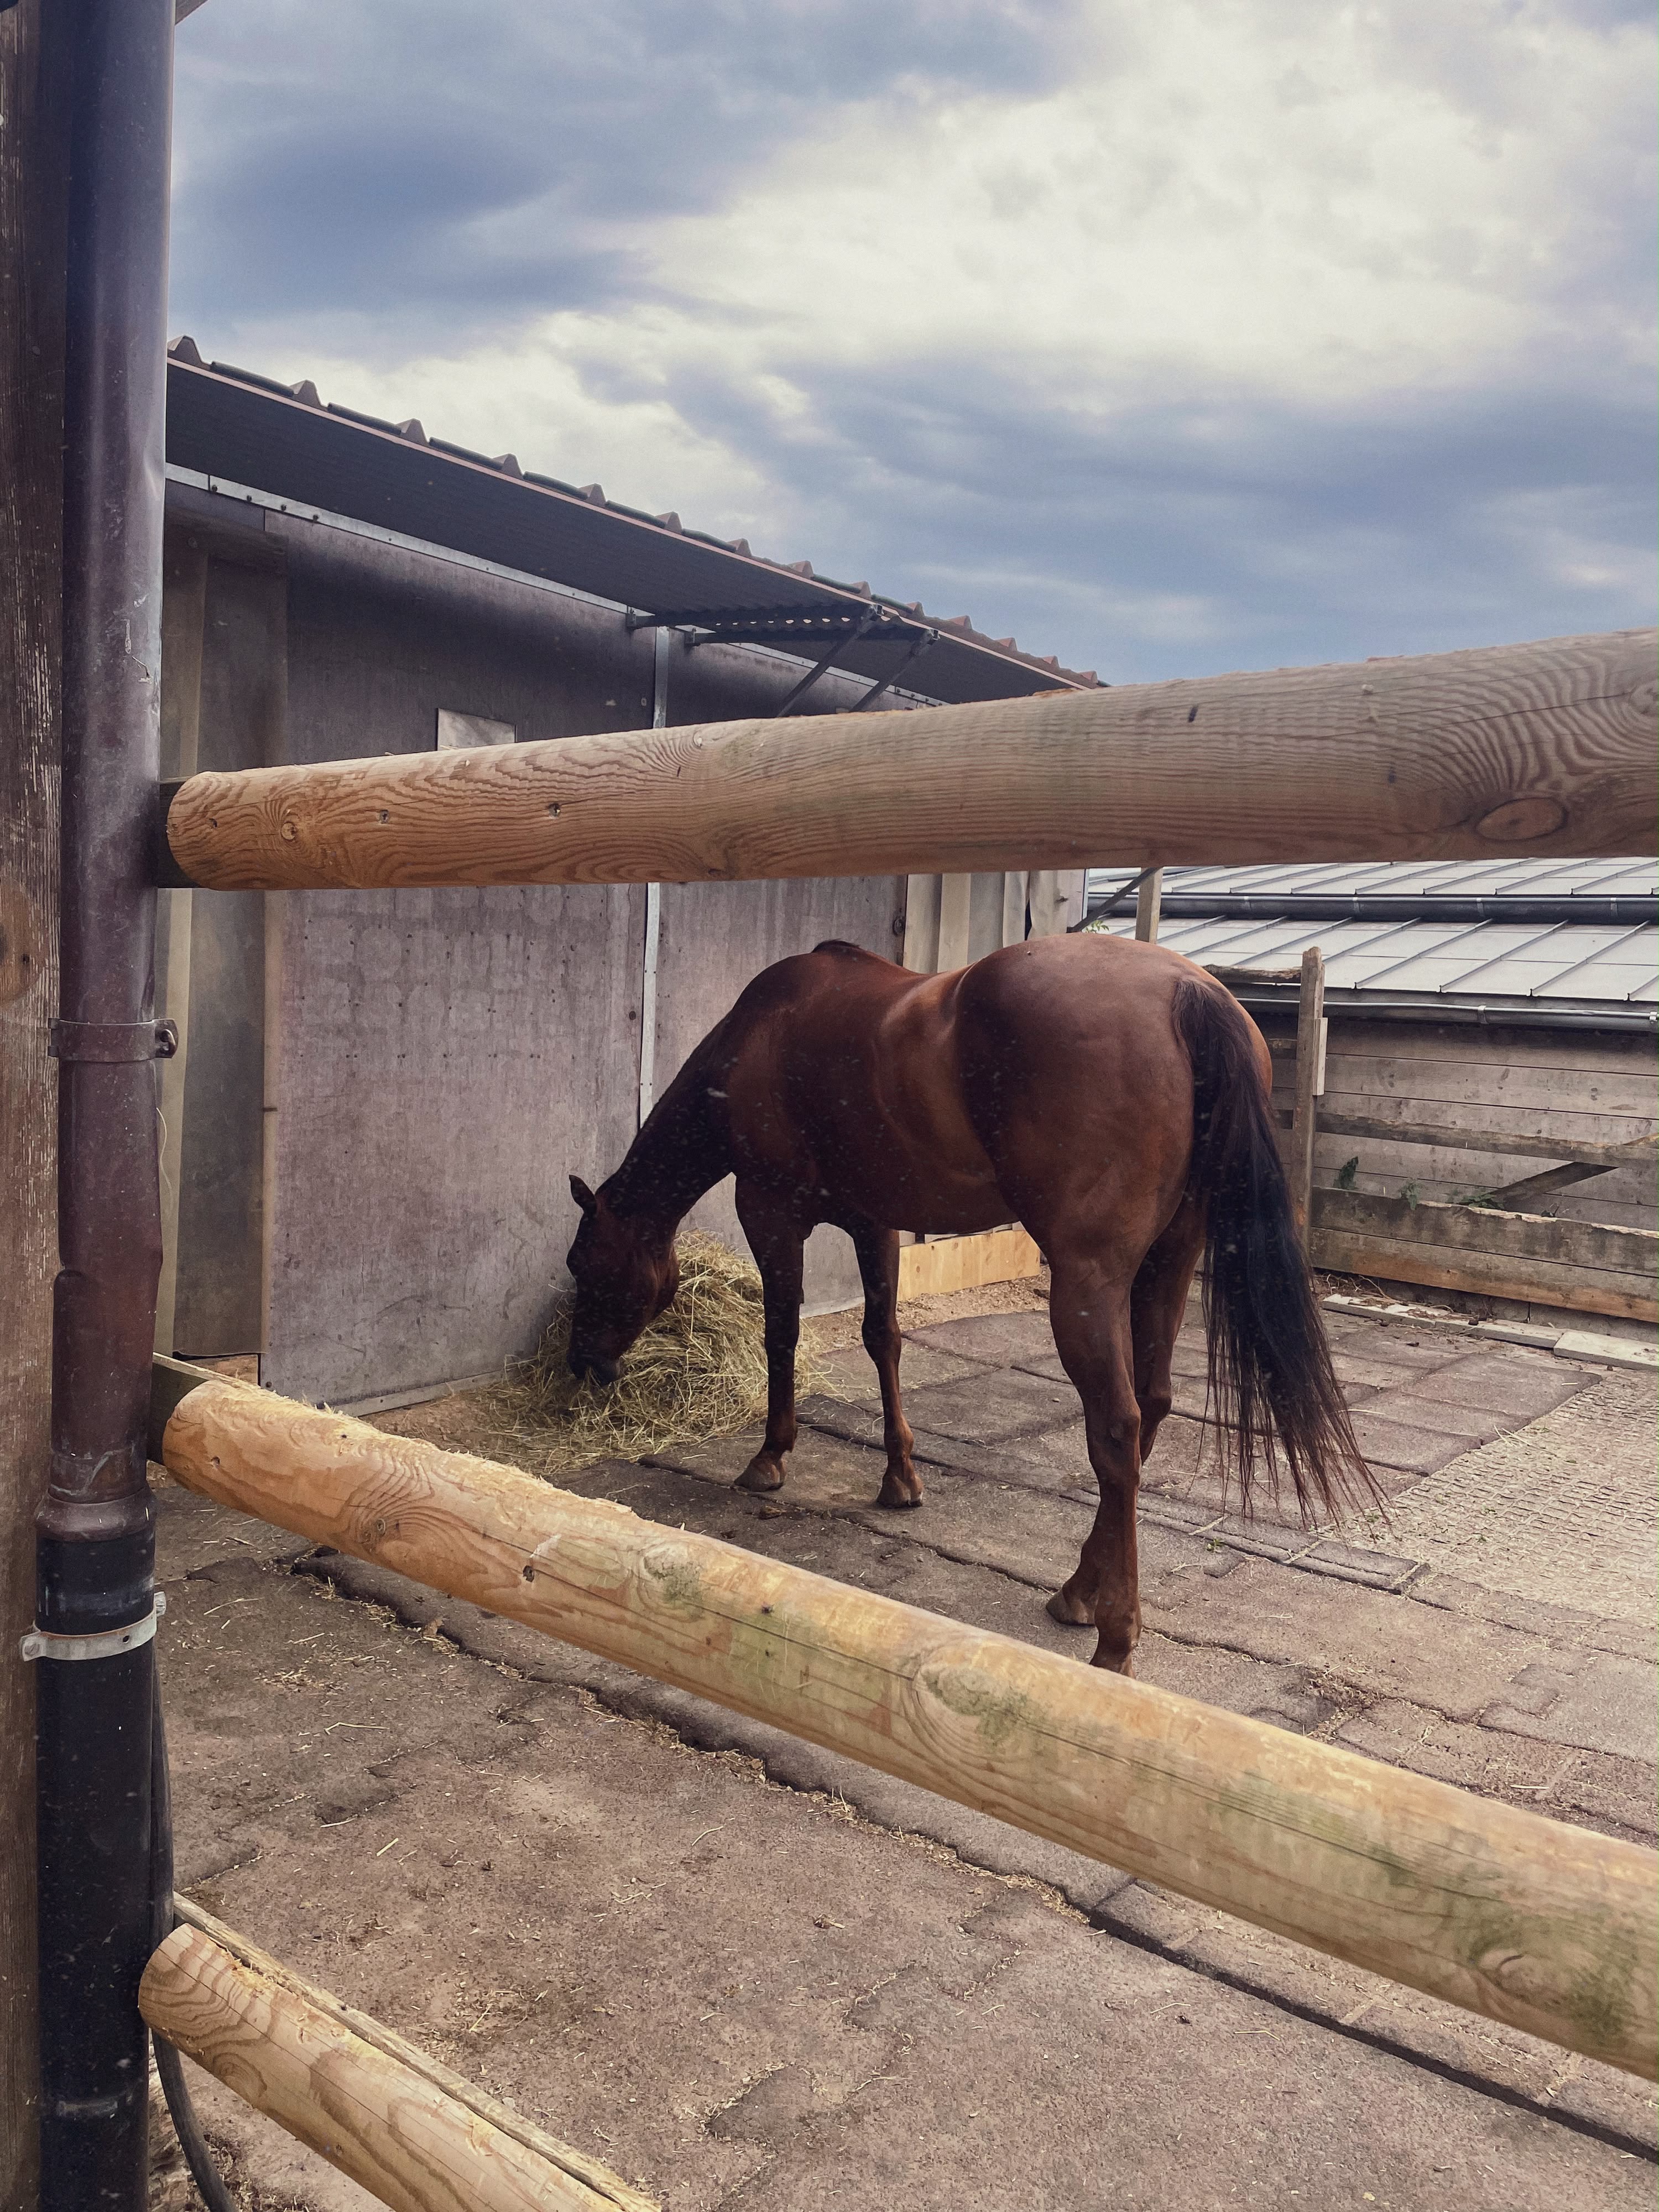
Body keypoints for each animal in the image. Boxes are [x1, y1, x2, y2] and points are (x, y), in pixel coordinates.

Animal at [565, 932, 1369, 1672]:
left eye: (582, 1264)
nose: (584, 1365)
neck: (758, 1040)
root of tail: (1186, 990)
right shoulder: (875, 1223)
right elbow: (883, 1337)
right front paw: (900, 1477)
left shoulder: (770, 1211)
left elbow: (783, 1334)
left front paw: (770, 1457)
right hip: (1171, 1263)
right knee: (1154, 1405)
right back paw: (1079, 1590)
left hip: (1089, 1282)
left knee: (1117, 1428)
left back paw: (1114, 1638)